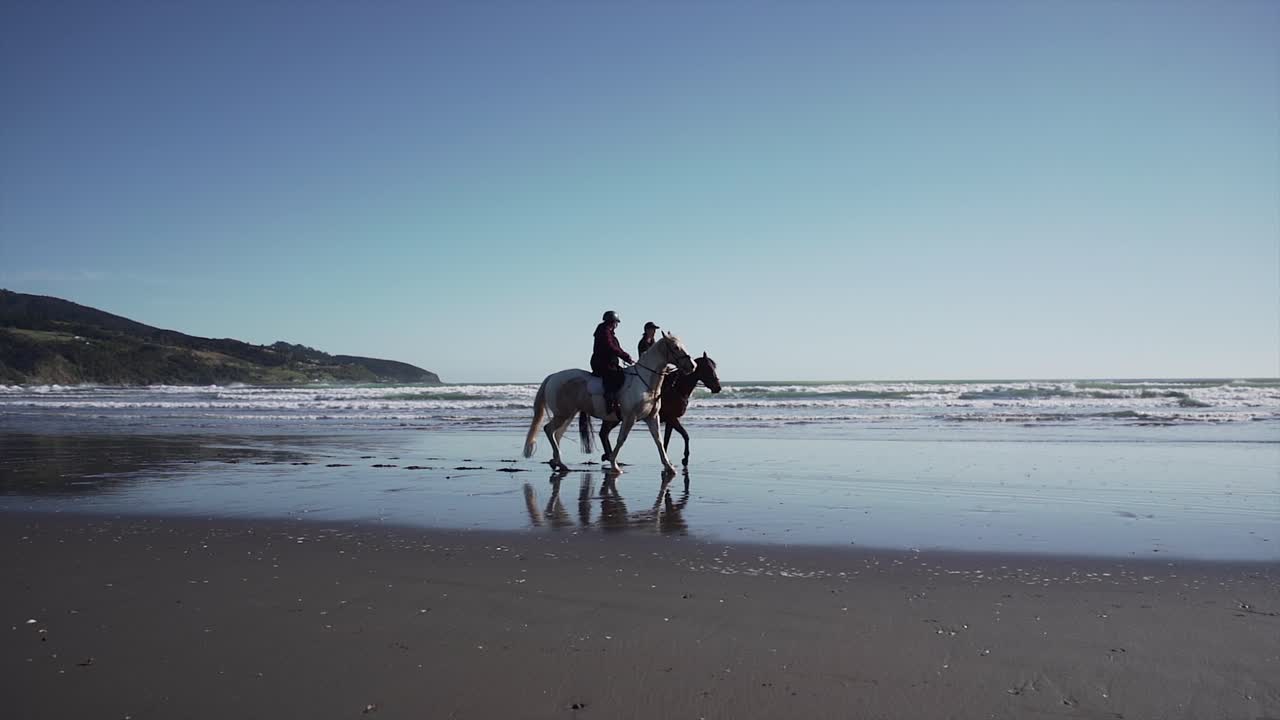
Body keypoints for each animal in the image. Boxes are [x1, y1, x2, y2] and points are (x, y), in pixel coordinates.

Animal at [523, 333, 695, 474]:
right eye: (675, 347)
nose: (692, 366)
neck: (645, 382)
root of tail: (552, 377)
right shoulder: (630, 418)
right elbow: (621, 439)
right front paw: (614, 465)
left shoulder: (652, 417)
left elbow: (659, 441)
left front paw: (669, 466)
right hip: (563, 414)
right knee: (549, 430)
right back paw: (559, 461)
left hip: (568, 414)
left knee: (556, 434)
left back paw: (558, 462)